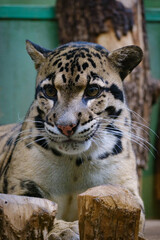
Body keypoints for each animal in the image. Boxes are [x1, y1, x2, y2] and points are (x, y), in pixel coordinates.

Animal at [0, 40, 145, 234]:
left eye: (92, 90)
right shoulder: (21, 186)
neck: (75, 161)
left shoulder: (124, 190)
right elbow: (40, 213)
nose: (66, 126)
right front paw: (65, 229)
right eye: (50, 91)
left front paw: (72, 228)